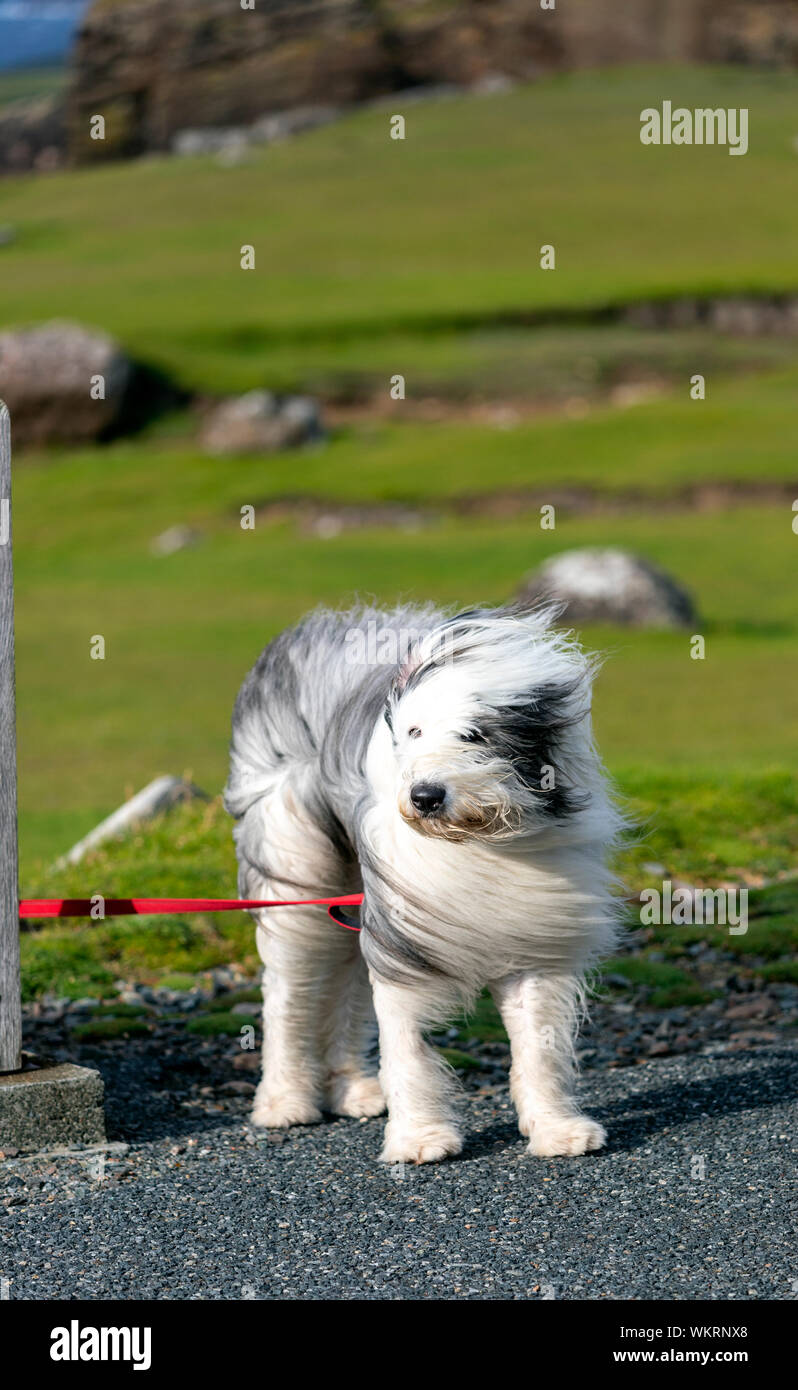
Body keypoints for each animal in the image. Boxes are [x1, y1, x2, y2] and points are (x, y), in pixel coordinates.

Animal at [225, 606, 625, 1162]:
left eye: (475, 734)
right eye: (414, 731)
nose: (425, 796)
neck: (476, 841)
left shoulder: (534, 940)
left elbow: (539, 1043)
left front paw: (557, 1129)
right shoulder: (403, 937)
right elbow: (407, 1046)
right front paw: (420, 1139)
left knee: (345, 978)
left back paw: (353, 1089)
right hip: (295, 867)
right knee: (291, 989)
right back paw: (284, 1101)